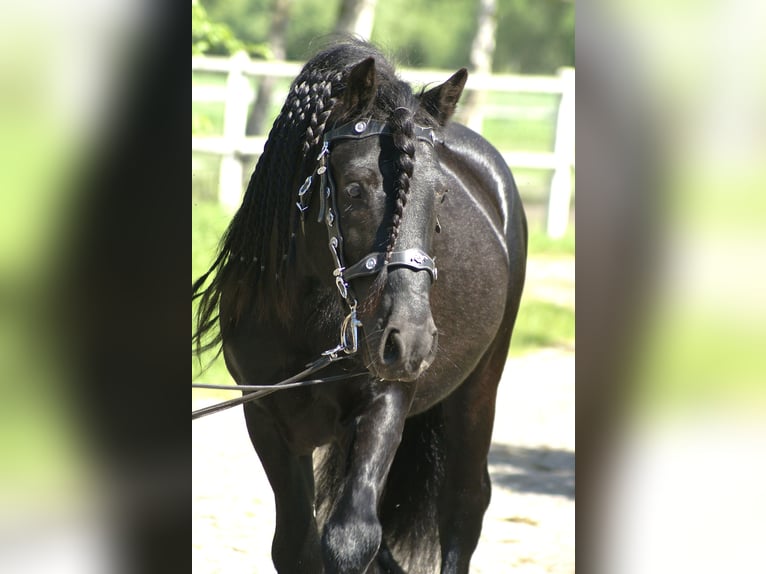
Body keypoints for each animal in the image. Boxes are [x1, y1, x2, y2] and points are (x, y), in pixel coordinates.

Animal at [192, 38, 528, 572]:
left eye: (441, 195)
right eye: (353, 188)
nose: (410, 340)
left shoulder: (386, 398)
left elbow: (351, 537)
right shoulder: (267, 417)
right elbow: (297, 545)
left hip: (478, 389)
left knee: (463, 504)